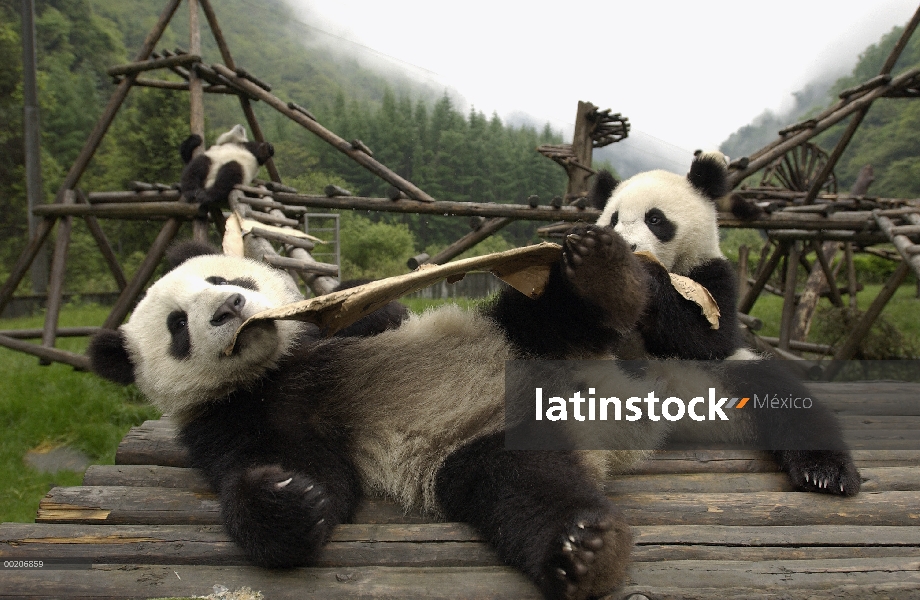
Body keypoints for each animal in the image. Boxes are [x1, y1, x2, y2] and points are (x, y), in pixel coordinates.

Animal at [90, 226, 688, 600]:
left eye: (226, 280)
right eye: (177, 326)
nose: (229, 308)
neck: (281, 361)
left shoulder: (347, 326)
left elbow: (379, 309)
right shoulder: (231, 417)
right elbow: (301, 475)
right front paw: (286, 499)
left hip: (515, 341)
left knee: (550, 314)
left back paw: (600, 270)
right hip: (476, 449)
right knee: (523, 490)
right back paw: (583, 550)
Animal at [584, 152, 860, 494]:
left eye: (655, 219)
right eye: (613, 219)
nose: (625, 245)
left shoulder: (714, 276)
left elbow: (709, 337)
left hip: (733, 374)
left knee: (790, 401)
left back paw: (825, 472)